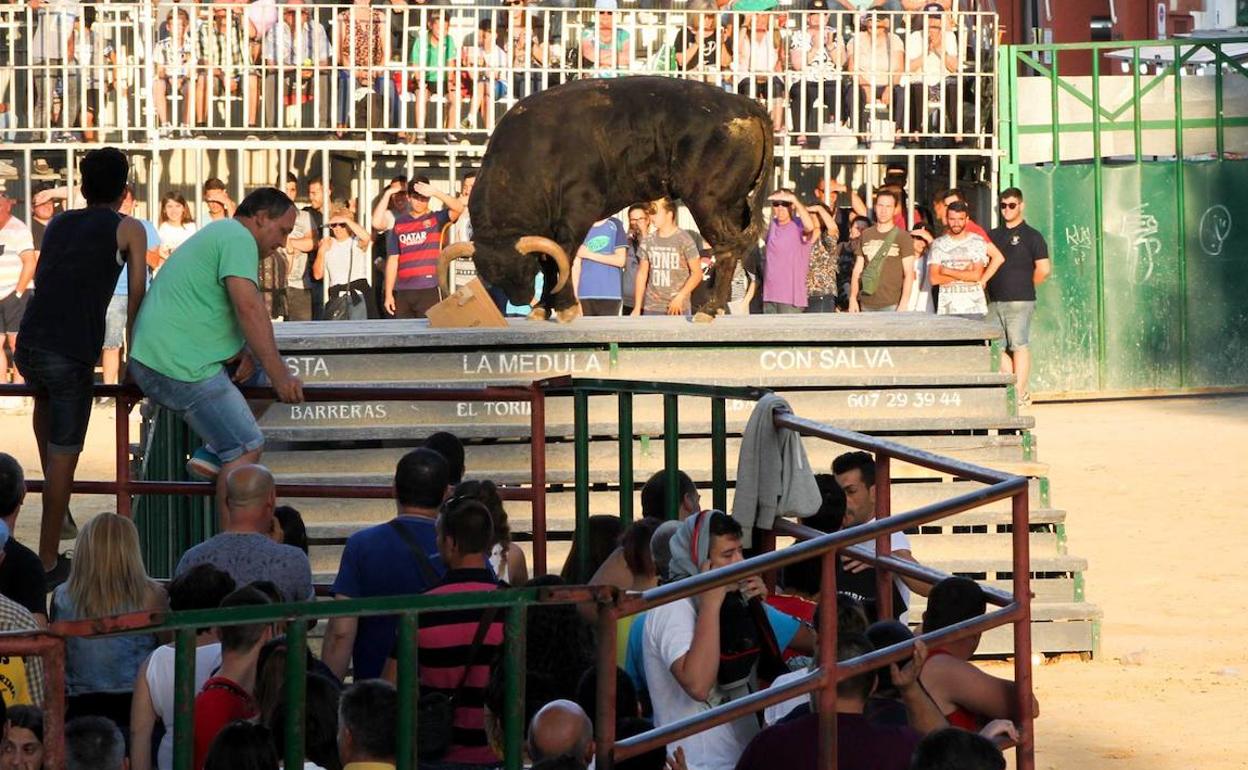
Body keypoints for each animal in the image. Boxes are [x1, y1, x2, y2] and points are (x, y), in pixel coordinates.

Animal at [436, 75, 768, 321]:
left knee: (727, 248)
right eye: (491, 277)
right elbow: (551, 262)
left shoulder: (577, 213)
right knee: (736, 245)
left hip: (707, 202)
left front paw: (565, 308)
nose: (521, 299)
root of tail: (747, 104)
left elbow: (562, 257)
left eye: (524, 270)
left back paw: (708, 310)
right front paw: (543, 309)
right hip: (732, 205)